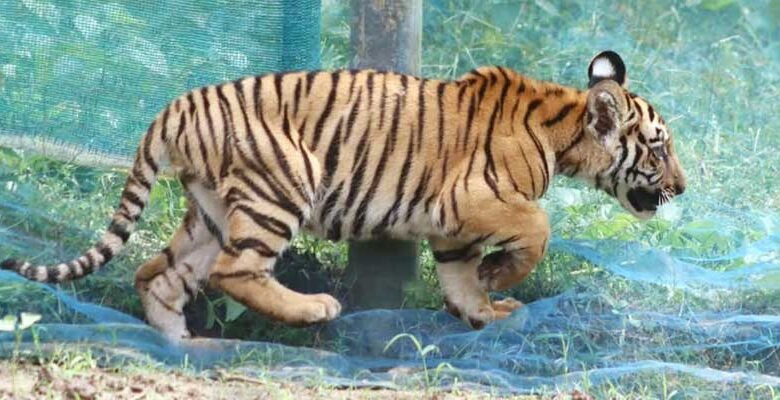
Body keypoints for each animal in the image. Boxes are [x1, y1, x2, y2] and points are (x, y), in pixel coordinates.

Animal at [2, 50, 686, 340]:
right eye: (658, 149)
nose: (681, 187)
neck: (563, 128)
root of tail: (174, 107)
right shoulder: (468, 200)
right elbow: (539, 226)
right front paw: (500, 279)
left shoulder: (452, 228)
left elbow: (459, 276)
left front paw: (483, 310)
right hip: (280, 185)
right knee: (235, 271)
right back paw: (314, 310)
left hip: (210, 211)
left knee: (157, 273)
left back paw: (178, 344)